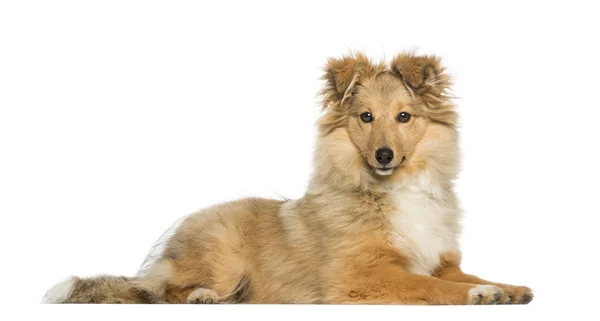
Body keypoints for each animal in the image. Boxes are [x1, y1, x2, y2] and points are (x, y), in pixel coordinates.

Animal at [42, 51, 532, 304]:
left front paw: (509, 288)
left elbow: (461, 275)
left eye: (404, 117)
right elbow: (430, 286)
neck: (392, 190)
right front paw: (480, 295)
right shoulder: (361, 276)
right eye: (366, 117)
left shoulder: (444, 260)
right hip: (221, 259)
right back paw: (203, 298)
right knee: (161, 292)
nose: (384, 155)